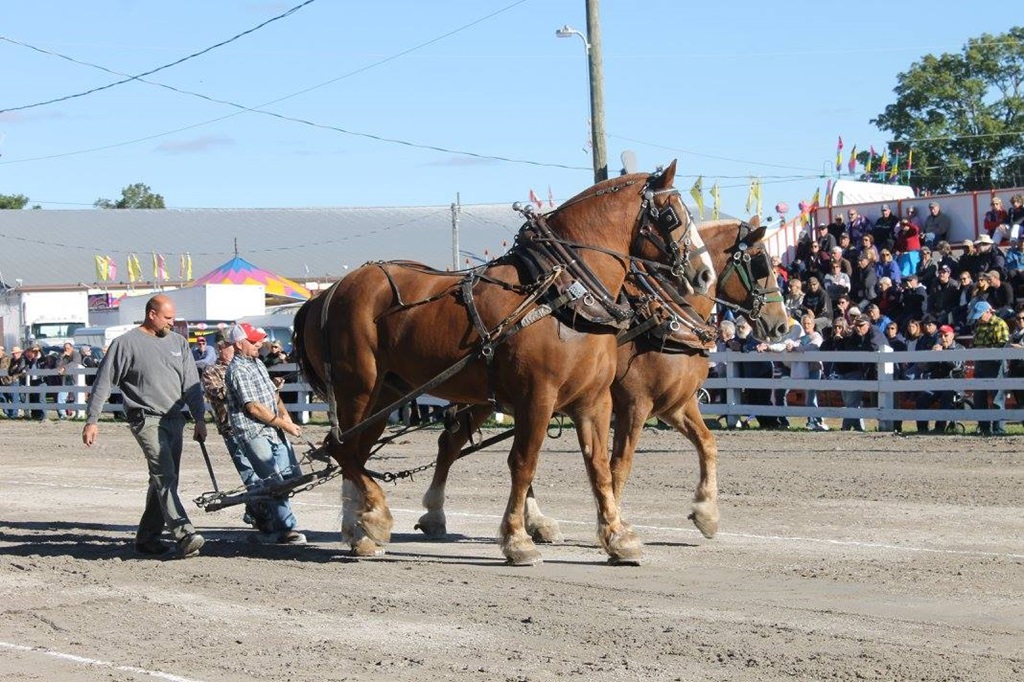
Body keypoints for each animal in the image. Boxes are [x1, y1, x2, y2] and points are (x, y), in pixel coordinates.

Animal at [294, 161, 713, 565]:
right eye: (673, 215)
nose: (703, 273)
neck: (566, 294)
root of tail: (325, 294)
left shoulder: (595, 400)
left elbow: (601, 467)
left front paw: (618, 537)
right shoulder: (541, 397)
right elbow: (525, 463)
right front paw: (517, 540)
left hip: (387, 395)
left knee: (358, 452)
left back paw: (359, 531)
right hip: (357, 388)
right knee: (342, 450)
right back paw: (377, 517)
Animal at [413, 216, 788, 552]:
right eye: (759, 261)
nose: (781, 325)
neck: (668, 316)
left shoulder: (676, 406)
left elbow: (707, 445)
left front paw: (706, 513)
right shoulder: (635, 404)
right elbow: (619, 464)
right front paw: (614, 525)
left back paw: (535, 521)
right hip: (489, 397)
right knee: (451, 443)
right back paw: (436, 513)